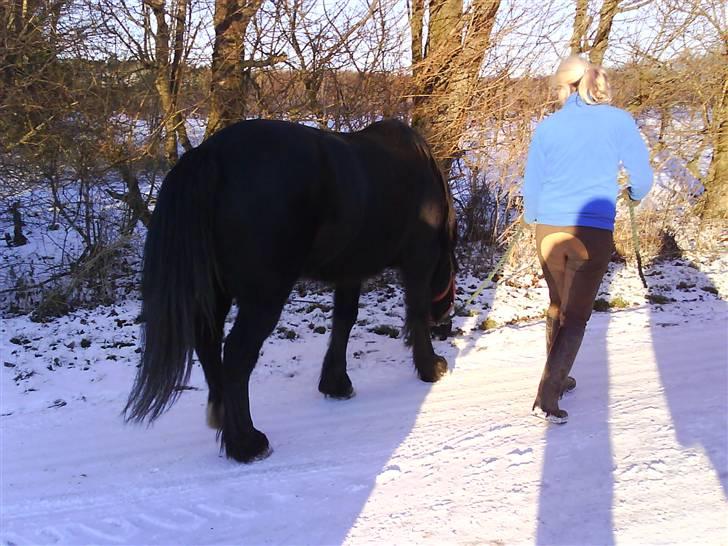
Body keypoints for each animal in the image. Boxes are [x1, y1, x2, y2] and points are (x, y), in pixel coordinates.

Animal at [124, 118, 457, 463]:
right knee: (236, 355)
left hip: (216, 292)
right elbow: (415, 311)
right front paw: (431, 366)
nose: (446, 323)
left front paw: (336, 384)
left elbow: (344, 321)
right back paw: (246, 443)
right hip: (264, 297)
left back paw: (222, 416)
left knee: (208, 343)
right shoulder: (419, 260)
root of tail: (211, 153)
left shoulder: (350, 272)